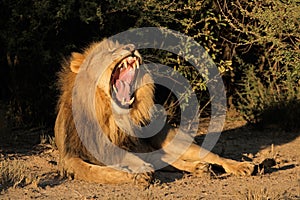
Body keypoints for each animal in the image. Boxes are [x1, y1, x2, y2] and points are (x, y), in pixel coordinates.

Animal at [54, 39, 253, 184]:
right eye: (108, 51)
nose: (131, 47)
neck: (108, 117)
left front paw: (138, 174)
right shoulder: (71, 158)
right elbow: (96, 172)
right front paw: (134, 175)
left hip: (173, 142)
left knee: (209, 156)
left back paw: (241, 166)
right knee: (169, 161)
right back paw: (200, 168)